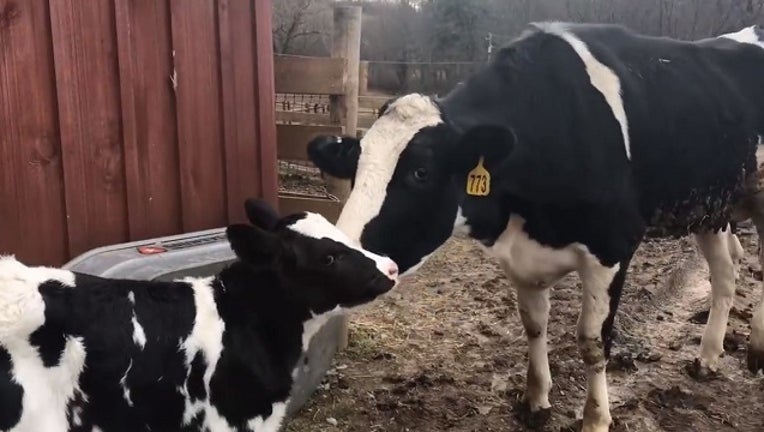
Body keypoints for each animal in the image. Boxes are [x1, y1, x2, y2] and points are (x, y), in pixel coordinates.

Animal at [307, 22, 764, 432]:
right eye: (355, 167)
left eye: (421, 172)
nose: (342, 259)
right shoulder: (521, 256)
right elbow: (532, 324)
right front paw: (536, 401)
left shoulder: (613, 245)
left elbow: (592, 341)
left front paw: (595, 419)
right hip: (713, 206)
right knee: (726, 273)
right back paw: (708, 358)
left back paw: (754, 350)